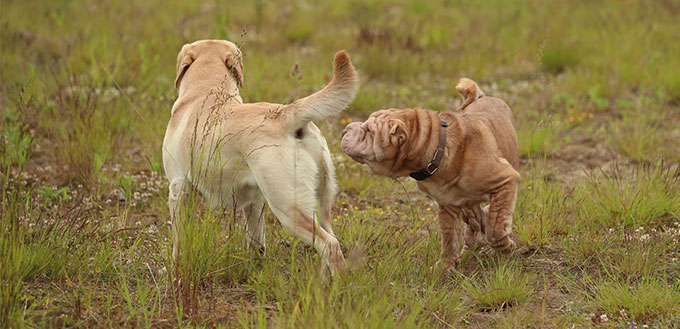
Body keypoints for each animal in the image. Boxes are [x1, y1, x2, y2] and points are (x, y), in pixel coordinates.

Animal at [162, 40, 358, 276]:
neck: (206, 88)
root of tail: (286, 114)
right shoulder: (253, 201)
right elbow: (256, 243)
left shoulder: (178, 189)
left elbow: (178, 242)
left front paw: (175, 269)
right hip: (323, 202)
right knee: (331, 240)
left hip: (288, 207)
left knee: (330, 246)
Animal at [342, 79, 516, 274]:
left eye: (368, 131)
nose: (346, 128)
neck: (438, 149)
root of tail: (482, 97)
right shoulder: (448, 205)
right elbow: (449, 238)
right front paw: (444, 266)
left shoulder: (506, 180)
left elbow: (496, 228)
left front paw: (506, 247)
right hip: (465, 203)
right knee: (474, 218)